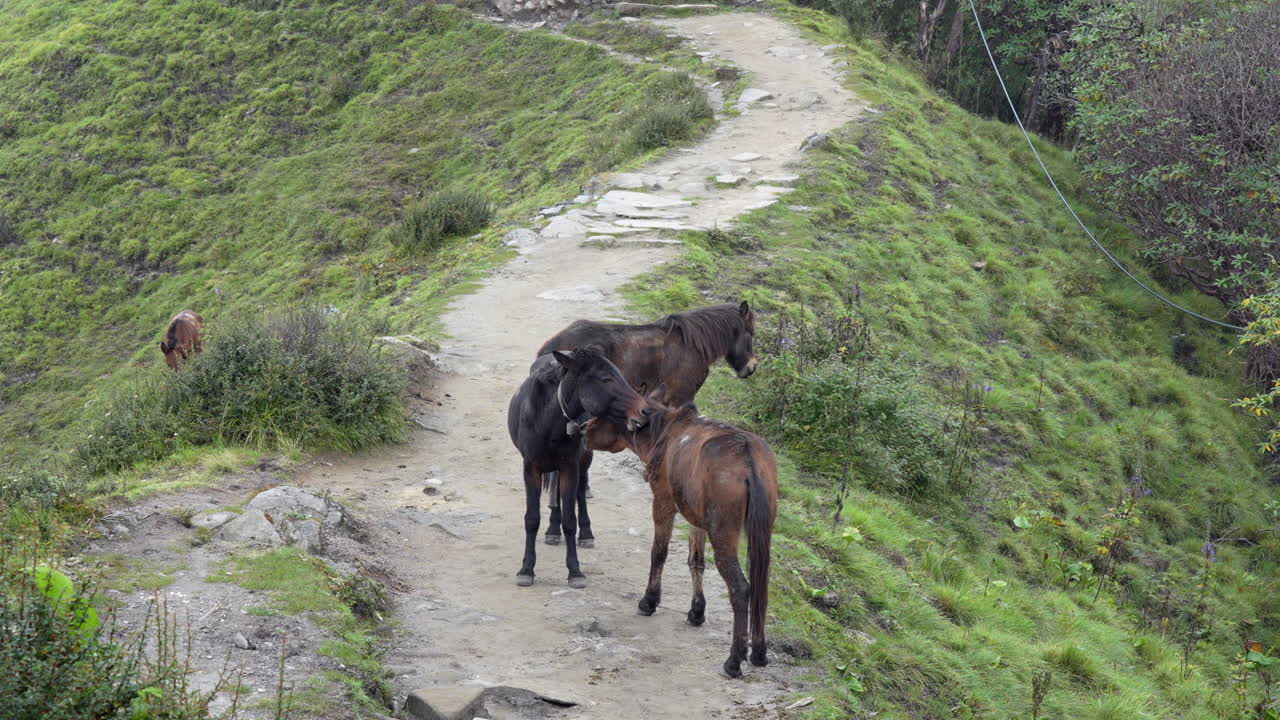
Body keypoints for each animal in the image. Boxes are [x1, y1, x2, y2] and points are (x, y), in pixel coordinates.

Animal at [507, 346, 651, 589]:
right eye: (605, 378)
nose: (644, 411)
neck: (548, 420)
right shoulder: (531, 467)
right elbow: (532, 518)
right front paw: (526, 569)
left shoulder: (570, 467)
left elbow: (570, 520)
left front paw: (575, 571)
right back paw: (552, 530)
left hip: (584, 460)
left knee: (581, 492)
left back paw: (585, 534)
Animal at [582, 384, 778, 678]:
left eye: (608, 412)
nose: (581, 428)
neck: (665, 431)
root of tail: (748, 458)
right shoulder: (696, 519)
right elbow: (696, 561)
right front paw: (697, 611)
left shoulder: (663, 502)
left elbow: (659, 552)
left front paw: (650, 600)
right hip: (761, 534)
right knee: (760, 586)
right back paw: (759, 652)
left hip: (723, 536)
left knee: (741, 588)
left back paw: (734, 658)